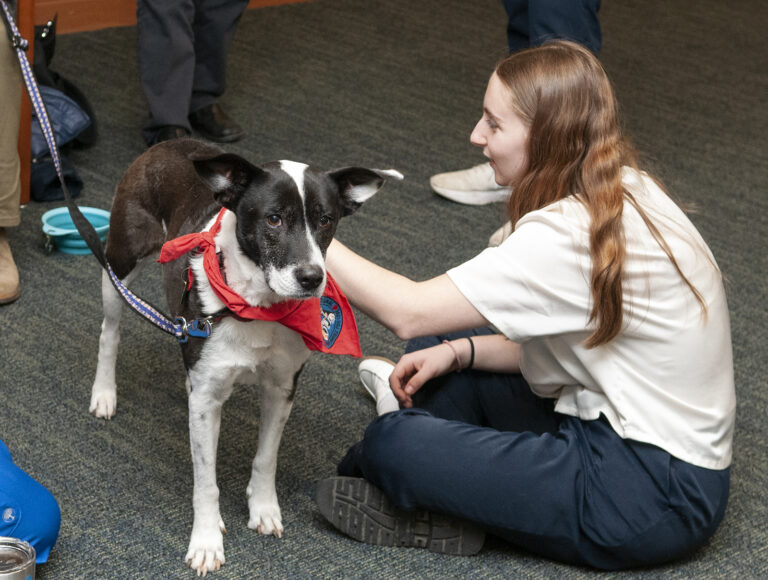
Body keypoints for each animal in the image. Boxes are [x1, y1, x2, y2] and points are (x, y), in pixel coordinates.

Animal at [88, 138, 402, 572]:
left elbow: (266, 457)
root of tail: (172, 141)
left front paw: (264, 508)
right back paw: (104, 393)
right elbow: (206, 482)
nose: (312, 278)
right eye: (273, 219)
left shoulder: (281, 389)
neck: (258, 308)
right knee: (109, 332)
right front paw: (206, 540)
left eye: (325, 220)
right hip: (120, 263)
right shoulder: (206, 403)